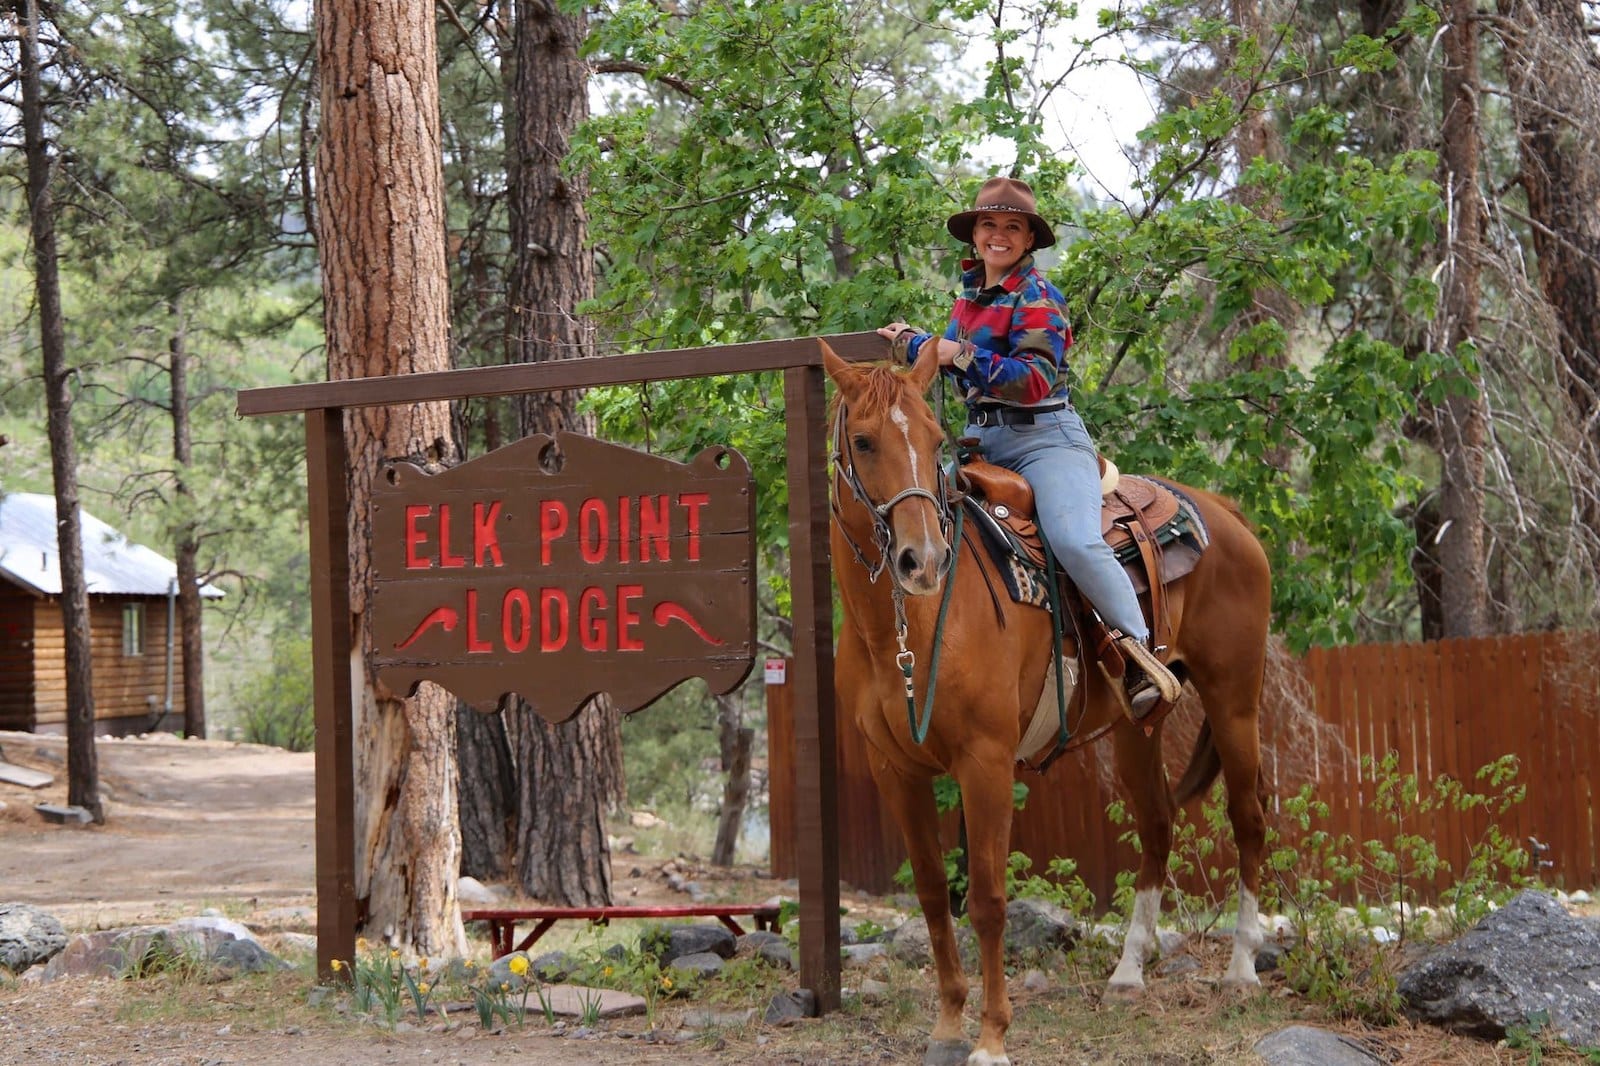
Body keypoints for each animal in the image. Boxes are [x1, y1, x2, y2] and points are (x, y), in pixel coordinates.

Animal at [832, 342, 1267, 1062]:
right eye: (864, 442)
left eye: (934, 438)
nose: (923, 560)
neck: (901, 629)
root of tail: (1227, 513)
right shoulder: (894, 770)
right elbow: (932, 893)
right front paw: (948, 1024)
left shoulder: (985, 762)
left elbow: (986, 899)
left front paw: (990, 1036)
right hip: (1136, 728)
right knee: (1157, 826)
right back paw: (1127, 973)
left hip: (1236, 703)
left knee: (1249, 820)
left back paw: (1240, 970)